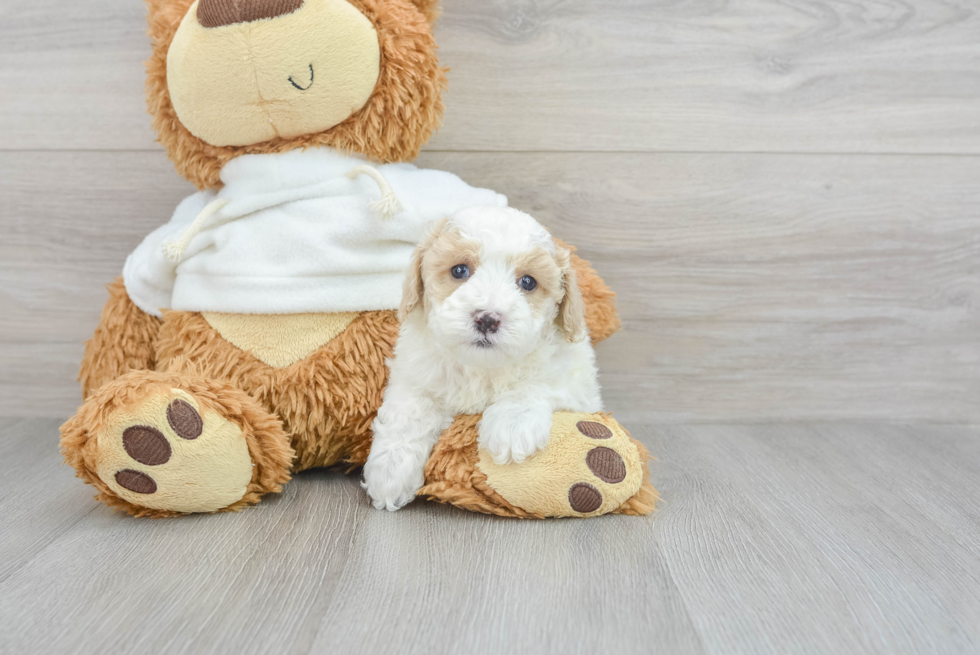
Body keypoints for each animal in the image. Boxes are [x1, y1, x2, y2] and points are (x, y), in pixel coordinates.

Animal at [364, 205, 600, 512]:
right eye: (459, 270)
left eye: (528, 282)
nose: (487, 319)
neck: (481, 366)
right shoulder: (414, 376)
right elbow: (409, 414)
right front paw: (390, 471)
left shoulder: (578, 386)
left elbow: (537, 383)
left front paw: (511, 425)